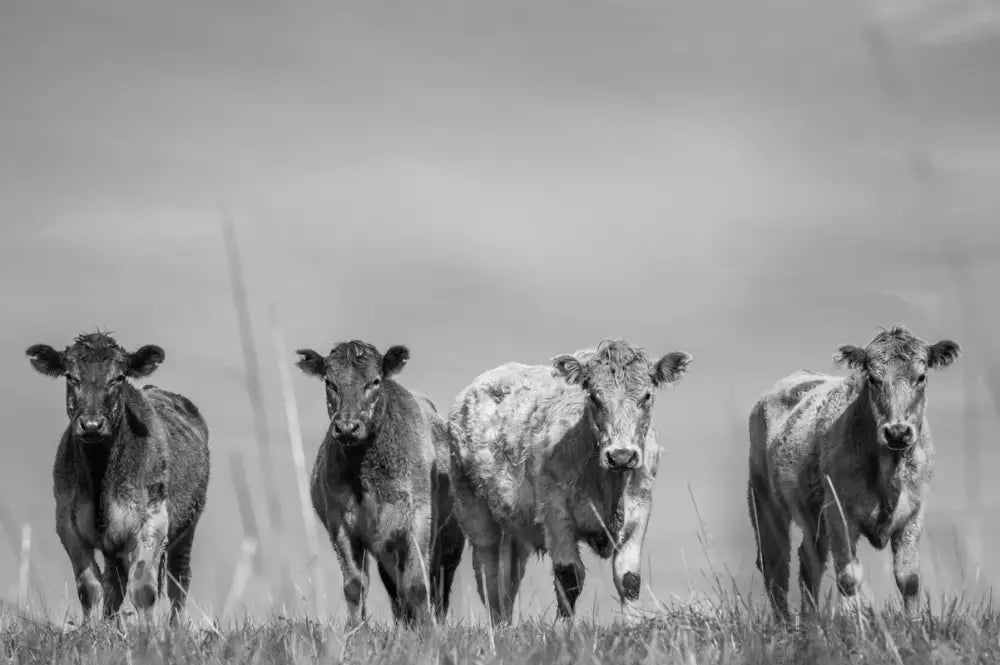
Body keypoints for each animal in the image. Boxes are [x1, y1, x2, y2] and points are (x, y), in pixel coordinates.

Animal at [26, 332, 210, 624]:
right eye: (70, 376)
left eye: (119, 377)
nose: (91, 425)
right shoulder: (67, 523)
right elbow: (90, 587)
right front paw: (91, 630)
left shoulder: (153, 520)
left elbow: (143, 587)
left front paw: (148, 633)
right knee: (115, 583)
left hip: (187, 527)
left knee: (178, 581)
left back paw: (175, 628)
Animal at [295, 340, 465, 628]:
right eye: (330, 382)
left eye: (374, 381)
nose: (347, 427)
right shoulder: (340, 522)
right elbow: (355, 584)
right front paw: (356, 630)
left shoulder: (417, 517)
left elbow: (417, 583)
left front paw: (428, 631)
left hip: (450, 537)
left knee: (439, 583)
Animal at [447, 338, 693, 625]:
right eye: (595, 397)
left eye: (646, 396)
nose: (621, 456)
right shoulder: (556, 511)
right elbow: (569, 576)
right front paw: (563, 629)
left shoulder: (640, 508)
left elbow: (629, 579)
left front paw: (632, 624)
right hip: (474, 512)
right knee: (489, 575)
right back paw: (497, 627)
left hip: (515, 528)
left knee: (508, 578)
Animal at [747, 325, 960, 621]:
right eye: (873, 378)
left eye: (921, 376)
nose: (897, 432)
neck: (888, 474)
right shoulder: (840, 514)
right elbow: (848, 577)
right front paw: (852, 624)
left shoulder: (914, 513)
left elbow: (909, 579)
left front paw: (914, 624)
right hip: (764, 500)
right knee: (775, 564)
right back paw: (785, 622)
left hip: (813, 516)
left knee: (809, 560)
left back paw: (810, 621)